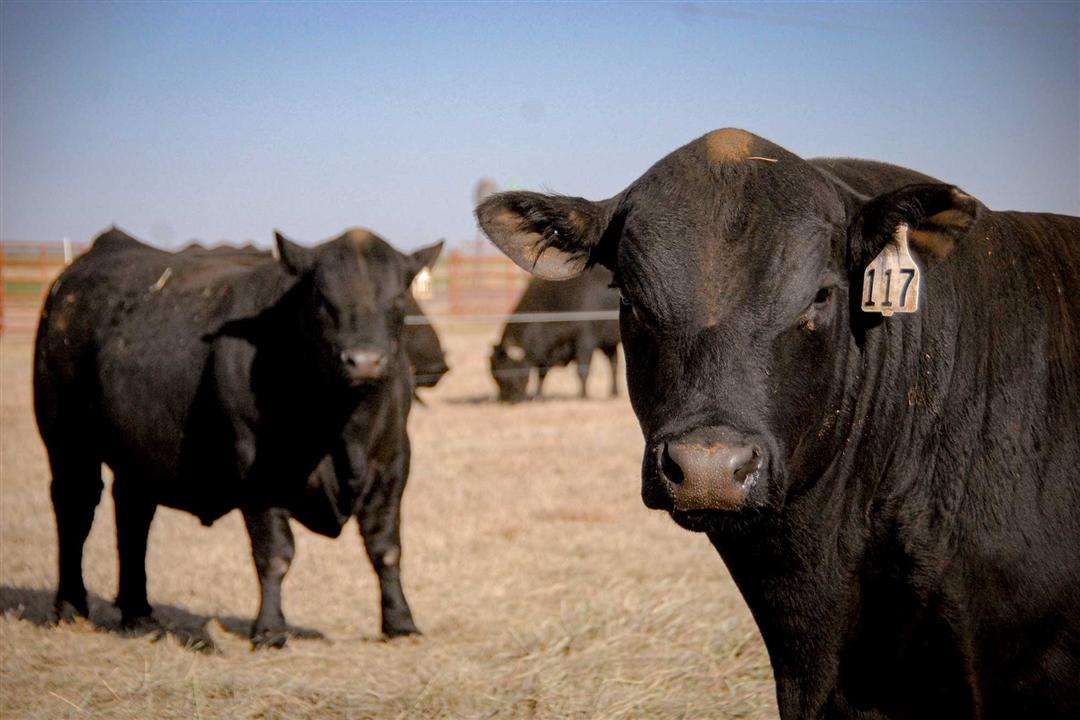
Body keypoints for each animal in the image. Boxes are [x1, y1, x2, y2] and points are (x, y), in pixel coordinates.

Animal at [36, 226, 442, 647]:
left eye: (397, 300)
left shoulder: (393, 465)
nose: (364, 361)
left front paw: (400, 623)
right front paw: (270, 629)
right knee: (75, 509)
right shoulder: (258, 473)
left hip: (138, 455)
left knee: (134, 516)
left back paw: (138, 612)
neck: (343, 430)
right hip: (66, 439)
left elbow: (386, 548)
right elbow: (275, 553)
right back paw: (69, 605)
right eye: (322, 300)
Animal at [490, 264, 617, 403]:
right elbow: (541, 374)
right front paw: (538, 396)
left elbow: (582, 370)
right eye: (494, 376)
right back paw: (614, 393)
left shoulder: (585, 341)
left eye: (506, 368)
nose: (506, 399)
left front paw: (583, 396)